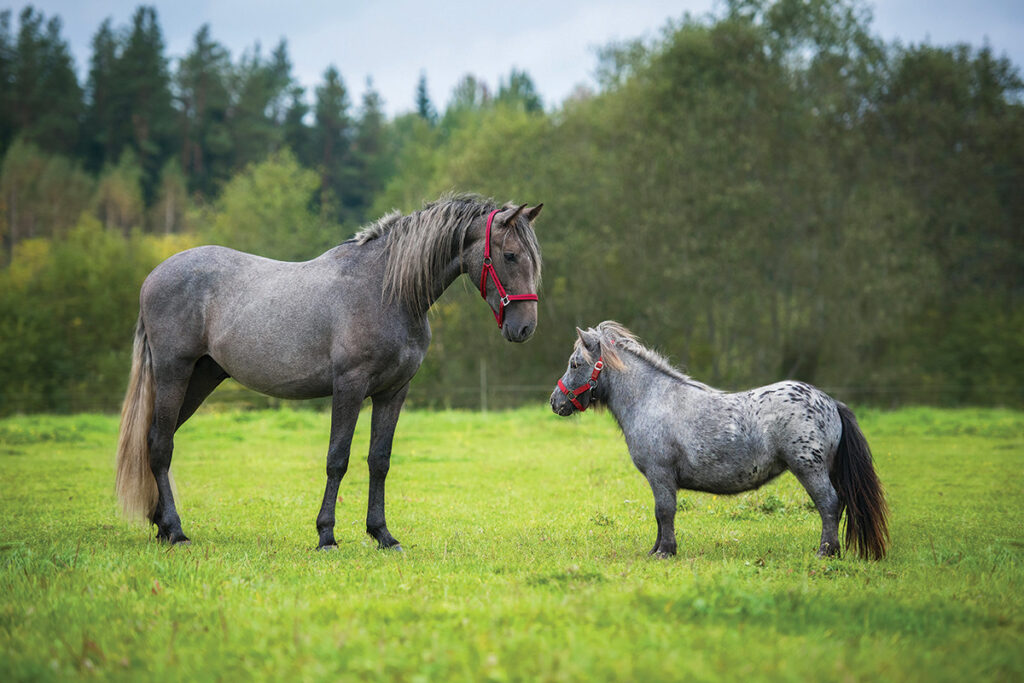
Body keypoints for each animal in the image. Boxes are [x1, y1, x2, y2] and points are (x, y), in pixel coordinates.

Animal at [117, 193, 544, 548]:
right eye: (509, 255)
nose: (525, 328)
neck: (386, 290)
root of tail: (154, 275)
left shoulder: (394, 392)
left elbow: (379, 460)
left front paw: (382, 534)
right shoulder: (349, 386)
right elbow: (338, 458)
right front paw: (326, 535)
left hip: (200, 379)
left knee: (158, 439)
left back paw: (162, 525)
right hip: (174, 374)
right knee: (160, 445)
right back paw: (176, 531)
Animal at [552, 321, 888, 561]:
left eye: (575, 364)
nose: (556, 401)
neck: (652, 399)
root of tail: (830, 402)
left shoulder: (660, 474)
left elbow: (664, 511)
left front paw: (665, 552)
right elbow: (661, 515)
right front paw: (656, 549)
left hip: (810, 469)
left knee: (829, 504)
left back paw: (825, 552)